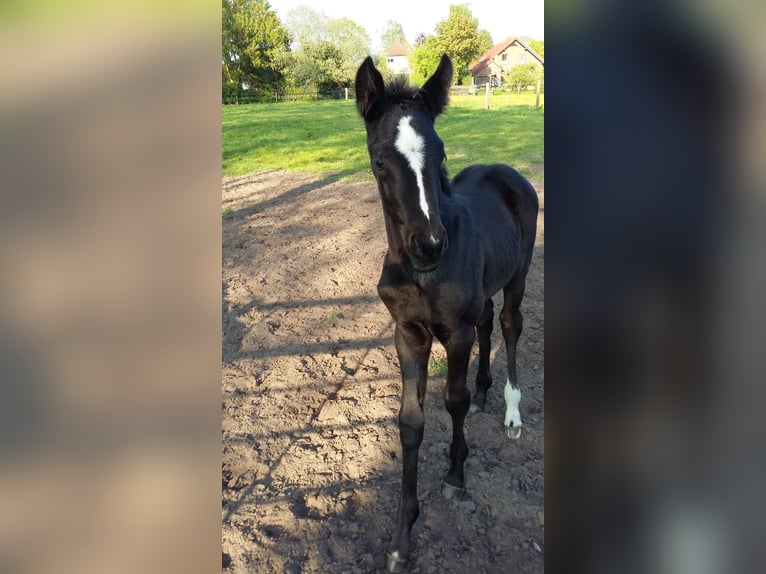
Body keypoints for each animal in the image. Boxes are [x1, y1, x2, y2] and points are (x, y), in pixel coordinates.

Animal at [356, 55, 540, 574]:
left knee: (509, 325)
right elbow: (410, 422)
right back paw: (484, 392)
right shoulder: (408, 333)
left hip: (519, 272)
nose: (430, 246)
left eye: (438, 155)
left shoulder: (454, 333)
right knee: (489, 320)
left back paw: (511, 413)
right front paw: (401, 540)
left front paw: (457, 474)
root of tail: (505, 171)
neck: (421, 276)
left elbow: (451, 401)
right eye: (379, 161)